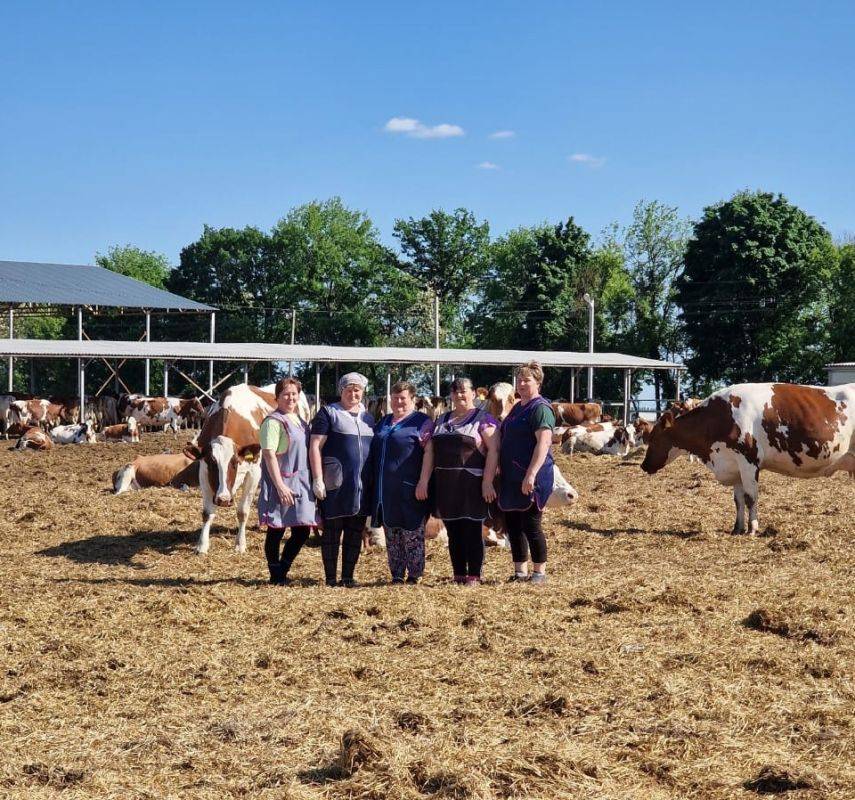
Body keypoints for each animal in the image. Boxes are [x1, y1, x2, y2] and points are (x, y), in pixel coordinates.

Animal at [182, 384, 272, 552]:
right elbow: (207, 513)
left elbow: (243, 511)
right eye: (212, 463)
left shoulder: (254, 472)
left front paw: (240, 544)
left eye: (235, 462)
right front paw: (202, 545)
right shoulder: (203, 471)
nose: (224, 500)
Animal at [640, 382, 855, 536]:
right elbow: (738, 500)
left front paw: (752, 529)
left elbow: (751, 498)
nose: (643, 465)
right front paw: (737, 528)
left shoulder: (748, 462)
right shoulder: (734, 466)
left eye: (655, 437)